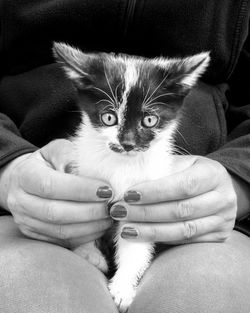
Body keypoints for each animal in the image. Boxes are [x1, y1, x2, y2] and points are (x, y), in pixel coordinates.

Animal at [53, 42, 211, 312]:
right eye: (109, 117)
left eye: (149, 120)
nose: (127, 143)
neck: (122, 165)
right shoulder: (82, 169)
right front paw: (89, 254)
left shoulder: (143, 198)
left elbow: (135, 242)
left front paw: (123, 288)